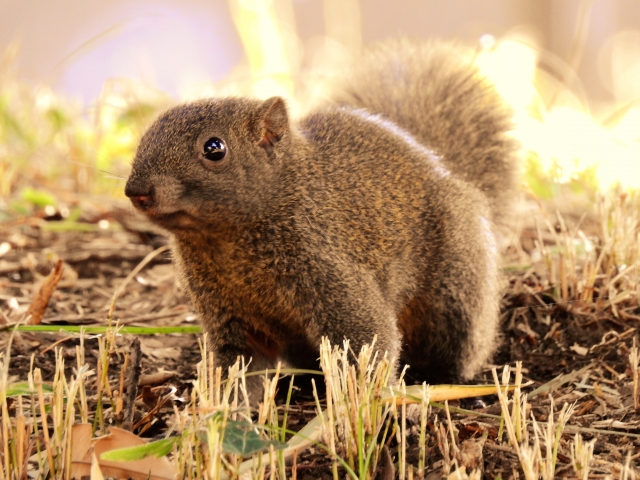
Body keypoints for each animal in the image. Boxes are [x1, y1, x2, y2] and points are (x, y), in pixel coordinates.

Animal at [125, 39, 520, 404]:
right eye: (144, 139)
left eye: (214, 149)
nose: (136, 191)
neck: (225, 241)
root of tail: (446, 168)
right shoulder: (233, 319)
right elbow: (238, 371)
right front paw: (220, 414)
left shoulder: (330, 268)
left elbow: (367, 342)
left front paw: (364, 404)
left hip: (455, 292)